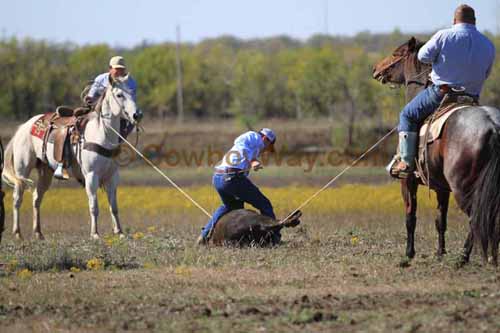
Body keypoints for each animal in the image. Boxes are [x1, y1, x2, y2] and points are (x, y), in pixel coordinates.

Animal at [1, 75, 140, 239]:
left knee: (36, 198)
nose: (136, 115)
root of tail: (23, 127)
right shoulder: (91, 176)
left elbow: (114, 206)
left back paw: (38, 233)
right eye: (119, 95)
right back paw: (17, 233)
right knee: (17, 198)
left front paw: (120, 232)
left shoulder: (112, 176)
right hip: (22, 170)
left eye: (133, 93)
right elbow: (94, 206)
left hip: (45, 172)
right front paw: (95, 234)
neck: (101, 134)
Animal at [372, 36, 500, 264]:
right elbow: (441, 219)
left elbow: (410, 217)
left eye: (397, 53)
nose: (376, 69)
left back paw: (463, 257)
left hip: (464, 187)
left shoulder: (408, 181)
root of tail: (492, 125)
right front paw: (440, 251)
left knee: (476, 218)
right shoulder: (441, 187)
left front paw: (409, 254)